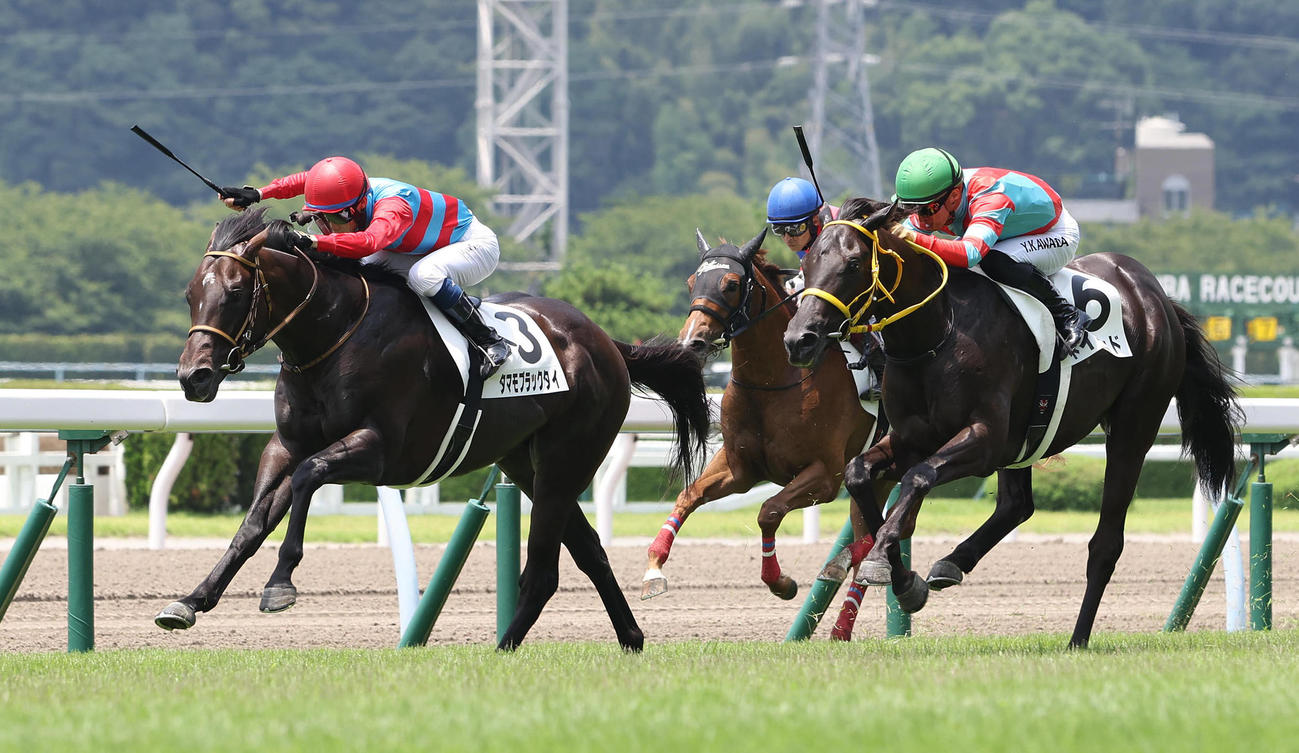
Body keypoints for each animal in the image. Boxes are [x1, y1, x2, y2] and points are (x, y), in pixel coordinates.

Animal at [155, 208, 711, 651]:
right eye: (189, 294)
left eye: (234, 292)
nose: (193, 377)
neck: (335, 333)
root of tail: (608, 343)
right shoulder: (285, 444)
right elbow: (255, 519)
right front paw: (191, 600)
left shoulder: (383, 450)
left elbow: (309, 476)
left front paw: (280, 584)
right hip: (525, 463)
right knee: (590, 550)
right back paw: (631, 638)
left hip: (564, 461)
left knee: (544, 572)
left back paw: (501, 649)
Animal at [643, 228, 890, 638]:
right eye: (692, 281)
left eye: (730, 284)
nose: (692, 341)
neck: (774, 382)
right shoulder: (740, 468)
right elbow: (689, 495)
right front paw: (653, 567)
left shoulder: (825, 476)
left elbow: (769, 511)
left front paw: (781, 582)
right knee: (867, 538)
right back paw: (840, 626)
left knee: (871, 539)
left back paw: (838, 578)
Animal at [783, 197, 1241, 648]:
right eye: (808, 263)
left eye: (853, 263)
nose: (798, 339)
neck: (937, 333)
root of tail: (1155, 295)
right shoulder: (913, 437)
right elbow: (859, 474)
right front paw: (904, 580)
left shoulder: (984, 439)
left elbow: (918, 478)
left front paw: (882, 559)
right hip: (1026, 442)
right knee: (1017, 504)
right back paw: (953, 562)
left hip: (1134, 424)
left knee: (1106, 543)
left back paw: (1078, 638)